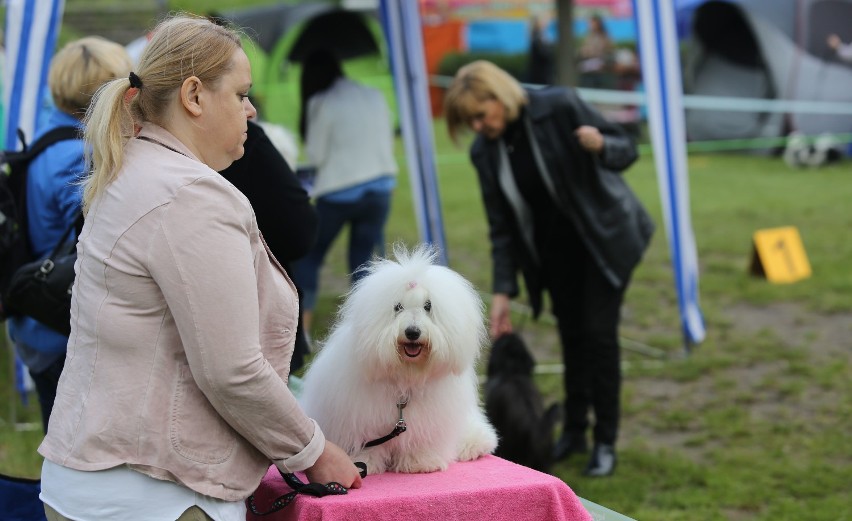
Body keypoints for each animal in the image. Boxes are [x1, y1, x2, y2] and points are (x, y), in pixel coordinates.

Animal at [302, 244, 496, 476]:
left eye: (428, 306)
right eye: (397, 307)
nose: (412, 332)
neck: (405, 376)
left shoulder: (428, 422)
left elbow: (421, 441)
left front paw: (421, 462)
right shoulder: (359, 419)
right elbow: (365, 443)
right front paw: (363, 462)